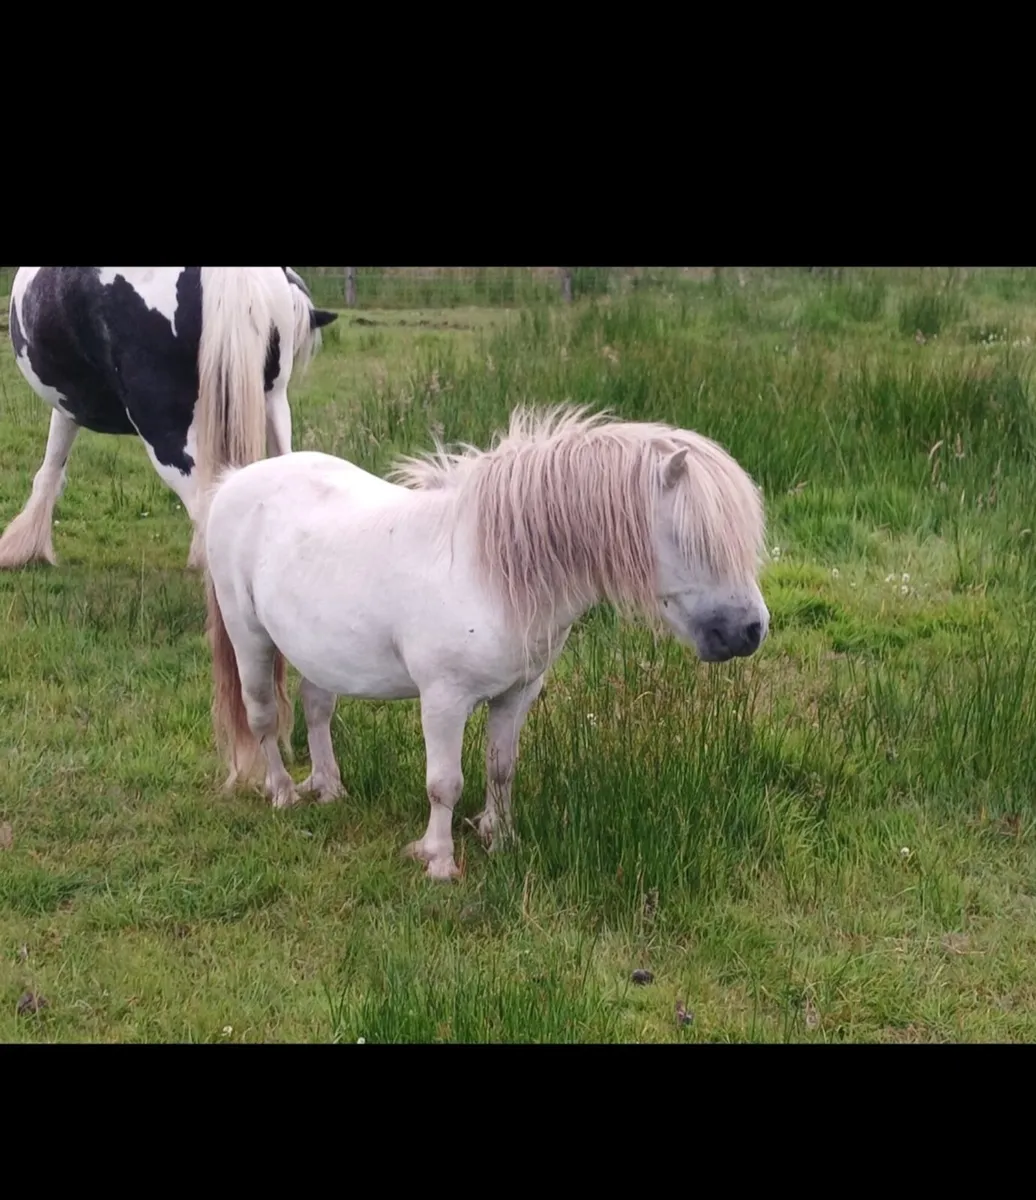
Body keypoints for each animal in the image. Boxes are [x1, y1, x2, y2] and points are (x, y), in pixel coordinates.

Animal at [201, 404, 770, 881]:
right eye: (694, 539)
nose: (750, 631)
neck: (492, 572)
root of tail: (234, 481)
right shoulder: (443, 700)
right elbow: (444, 783)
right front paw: (438, 860)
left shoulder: (518, 693)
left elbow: (501, 768)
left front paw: (500, 836)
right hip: (248, 635)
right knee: (262, 716)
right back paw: (282, 793)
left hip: (319, 653)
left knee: (316, 709)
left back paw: (329, 788)